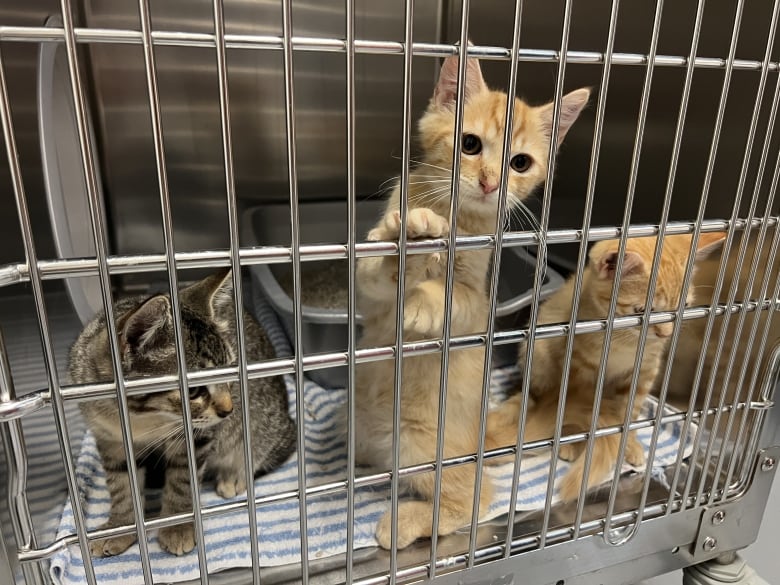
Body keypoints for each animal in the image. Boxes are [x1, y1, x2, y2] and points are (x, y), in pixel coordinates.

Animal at [71, 268, 296, 552]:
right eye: (193, 391)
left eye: (231, 370)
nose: (228, 409)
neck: (141, 418)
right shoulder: (109, 438)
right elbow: (122, 485)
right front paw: (120, 526)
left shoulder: (198, 435)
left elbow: (182, 481)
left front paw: (177, 527)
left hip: (263, 425)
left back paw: (234, 475)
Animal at [356, 51, 588, 548]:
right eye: (470, 144)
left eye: (520, 162)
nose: (488, 183)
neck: (456, 218)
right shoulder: (368, 286)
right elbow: (375, 270)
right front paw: (413, 237)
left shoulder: (476, 299)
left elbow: (454, 297)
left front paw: (421, 300)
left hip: (420, 443)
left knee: (475, 498)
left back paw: (405, 520)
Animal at [484, 233, 728, 502]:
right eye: (642, 310)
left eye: (683, 306)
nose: (665, 334)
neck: (625, 341)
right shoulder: (580, 368)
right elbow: (579, 407)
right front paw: (575, 441)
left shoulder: (645, 370)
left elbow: (629, 411)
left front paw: (628, 443)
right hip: (539, 355)